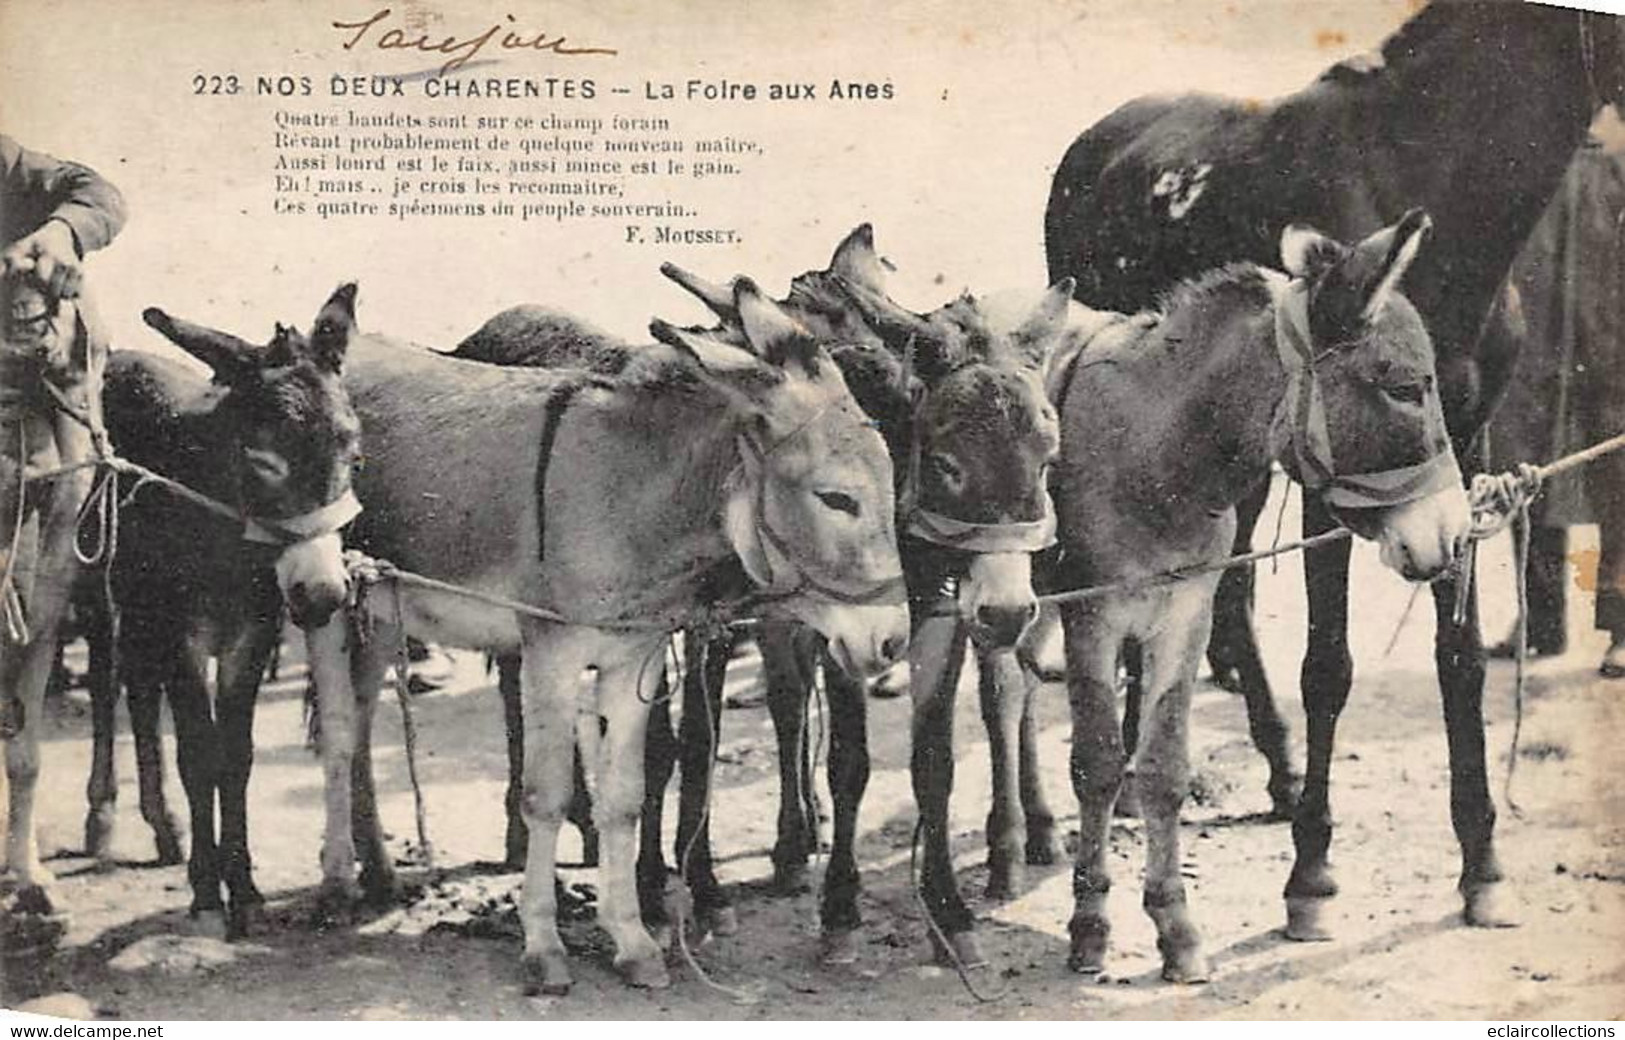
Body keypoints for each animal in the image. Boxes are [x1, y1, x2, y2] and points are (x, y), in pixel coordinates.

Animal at [78, 308, 362, 936]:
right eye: (263, 460)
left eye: (353, 457)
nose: (324, 595)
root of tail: (124, 356)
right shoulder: (182, 638)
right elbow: (198, 754)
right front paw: (208, 893)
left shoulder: (251, 638)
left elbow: (236, 755)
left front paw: (246, 891)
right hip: (103, 593)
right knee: (108, 685)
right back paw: (103, 819)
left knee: (139, 693)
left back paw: (164, 827)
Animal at [1046, 0, 1618, 936]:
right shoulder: (1333, 483)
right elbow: (1327, 666)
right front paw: (1310, 873)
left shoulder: (1462, 454)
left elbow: (1458, 660)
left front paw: (1480, 864)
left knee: (1222, 588)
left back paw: (1262, 771)